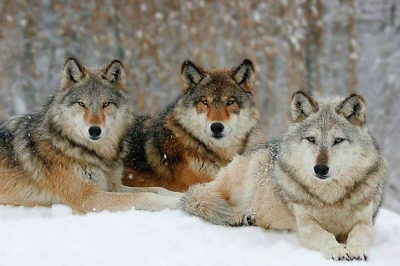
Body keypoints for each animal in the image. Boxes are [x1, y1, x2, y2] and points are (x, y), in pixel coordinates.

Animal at [0, 58, 181, 214]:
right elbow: (145, 196)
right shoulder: (88, 198)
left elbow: (158, 189)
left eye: (105, 104)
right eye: (82, 104)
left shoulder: (112, 186)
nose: (94, 130)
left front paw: (181, 194)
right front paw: (177, 203)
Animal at [183, 91, 386, 260]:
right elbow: (325, 235)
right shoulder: (306, 225)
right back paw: (236, 215)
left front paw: (356, 249)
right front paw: (336, 250)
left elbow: (359, 234)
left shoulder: (365, 222)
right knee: (202, 196)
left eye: (338, 140)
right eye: (311, 139)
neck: (330, 197)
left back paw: (251, 218)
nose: (320, 169)